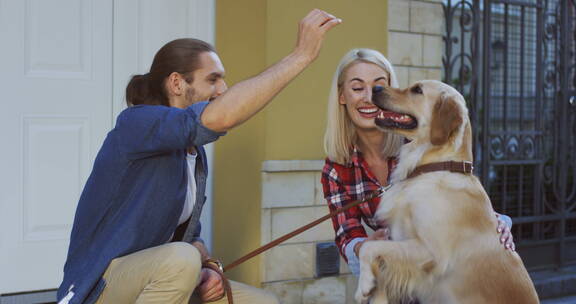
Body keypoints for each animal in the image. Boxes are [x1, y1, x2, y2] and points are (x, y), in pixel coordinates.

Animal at [356, 79, 540, 302]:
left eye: (417, 90)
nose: (376, 88)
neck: (433, 167)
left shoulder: (432, 252)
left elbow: (369, 246)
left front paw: (363, 286)